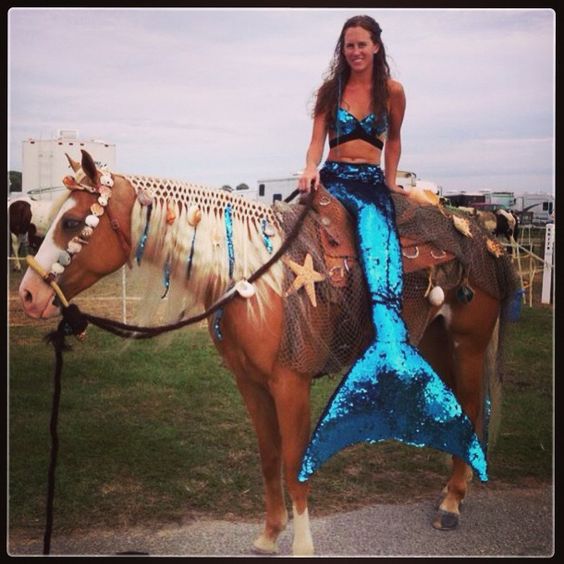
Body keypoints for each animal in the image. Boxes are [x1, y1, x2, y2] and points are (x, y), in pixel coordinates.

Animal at [18, 151, 516, 560]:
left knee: (473, 408)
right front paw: (269, 535)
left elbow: (294, 462)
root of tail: (480, 231)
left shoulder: (289, 383)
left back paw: (451, 502)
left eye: (70, 223)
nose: (27, 295)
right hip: (434, 339)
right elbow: (268, 456)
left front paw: (301, 545)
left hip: (467, 344)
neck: (257, 276)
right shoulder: (250, 383)